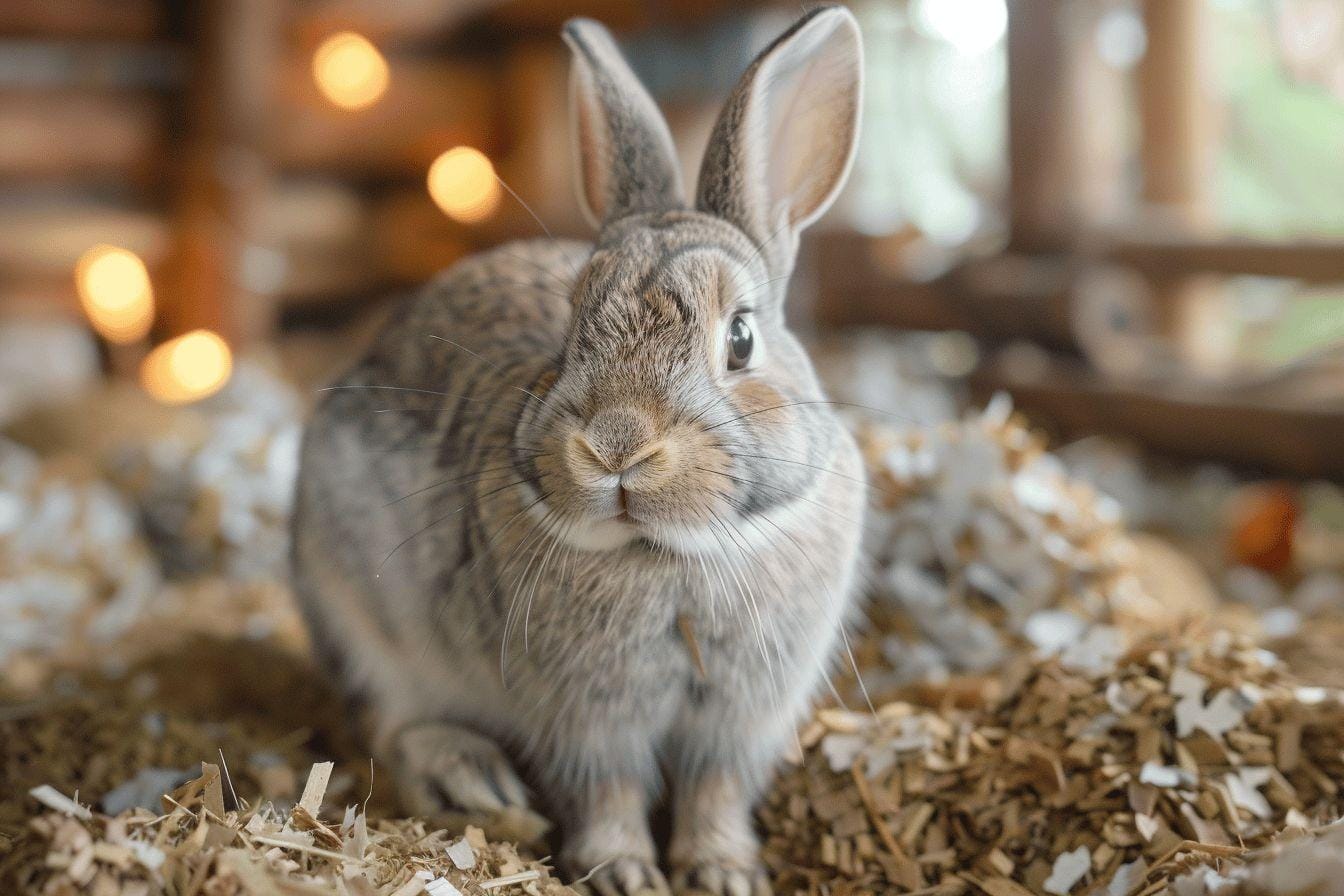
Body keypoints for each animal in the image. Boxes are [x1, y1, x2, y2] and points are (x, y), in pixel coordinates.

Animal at [291, 6, 865, 895]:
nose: (615, 446)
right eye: (571, 328)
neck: (671, 555)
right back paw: (472, 779)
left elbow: (714, 790)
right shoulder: (587, 723)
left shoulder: (738, 721)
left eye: (741, 339)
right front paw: (625, 872)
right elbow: (608, 791)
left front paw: (723, 872)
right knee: (386, 719)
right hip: (352, 607)